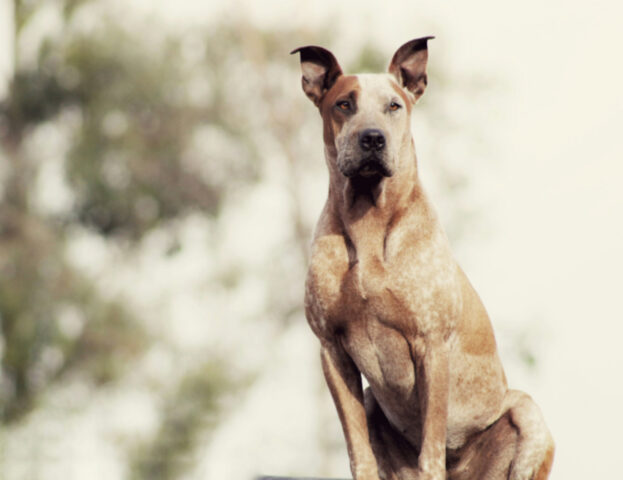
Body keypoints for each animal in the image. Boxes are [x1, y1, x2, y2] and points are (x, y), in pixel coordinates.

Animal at [292, 38, 556, 480]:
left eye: (394, 105)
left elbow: (431, 448)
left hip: (529, 416)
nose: (373, 139)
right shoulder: (331, 349)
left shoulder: (431, 345)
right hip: (370, 399)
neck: (369, 219)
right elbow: (358, 451)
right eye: (344, 104)